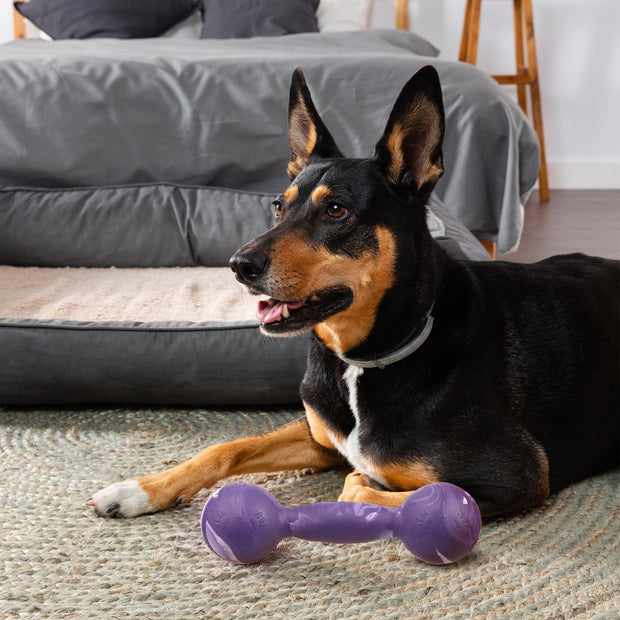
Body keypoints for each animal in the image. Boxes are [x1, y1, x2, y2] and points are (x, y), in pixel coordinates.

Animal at [89, 66, 616, 520]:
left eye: (337, 211)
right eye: (278, 206)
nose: (239, 266)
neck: (363, 358)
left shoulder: (517, 478)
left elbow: (372, 490)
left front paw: (366, 484)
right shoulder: (320, 435)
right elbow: (226, 447)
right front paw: (139, 490)